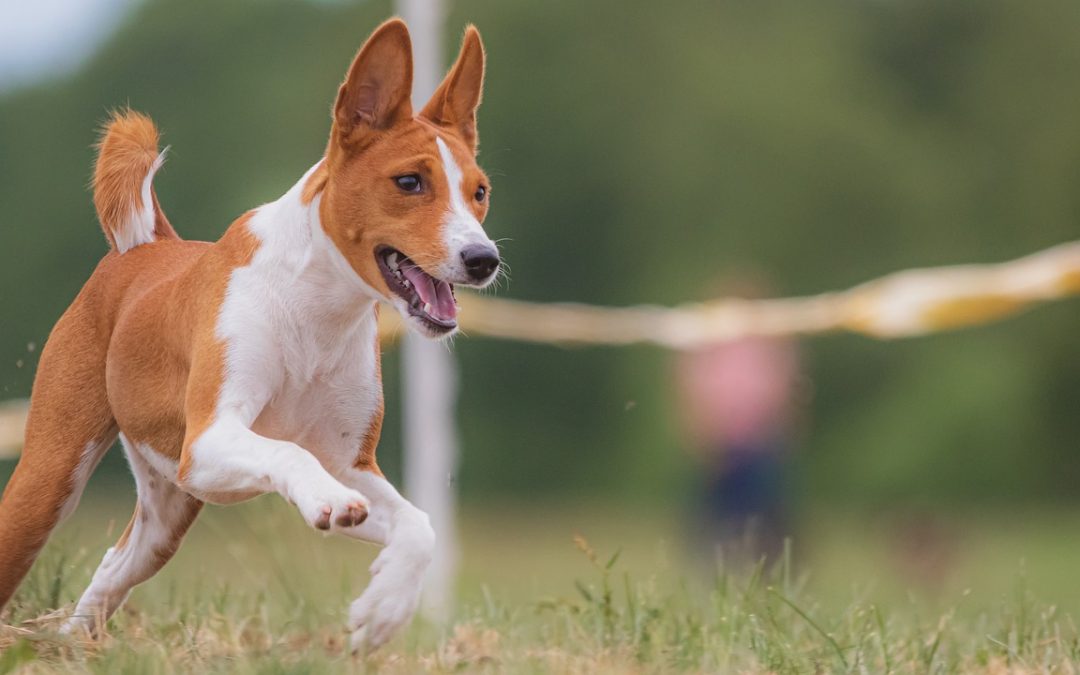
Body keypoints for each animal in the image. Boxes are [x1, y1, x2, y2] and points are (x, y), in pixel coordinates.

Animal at [0, 18, 496, 652]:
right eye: (409, 182)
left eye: (479, 191)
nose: (483, 259)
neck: (317, 316)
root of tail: (147, 247)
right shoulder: (213, 438)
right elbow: (286, 451)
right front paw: (327, 502)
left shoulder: (349, 461)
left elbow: (421, 525)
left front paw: (384, 607)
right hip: (49, 480)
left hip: (165, 514)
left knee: (112, 569)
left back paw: (69, 644)